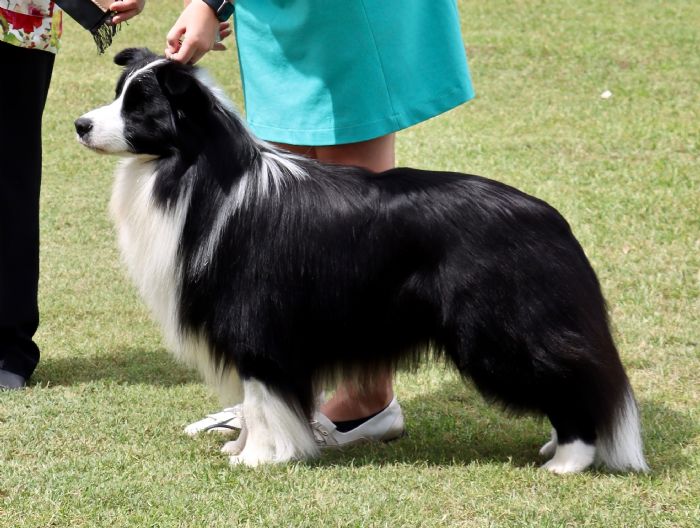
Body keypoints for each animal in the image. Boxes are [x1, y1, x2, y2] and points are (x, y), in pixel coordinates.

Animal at [74, 47, 648, 472]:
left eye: (138, 107)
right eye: (118, 93)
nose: (80, 124)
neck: (198, 170)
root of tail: (553, 221)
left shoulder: (255, 322)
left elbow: (263, 398)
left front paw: (257, 459)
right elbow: (259, 404)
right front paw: (240, 447)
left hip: (498, 331)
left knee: (575, 380)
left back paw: (567, 460)